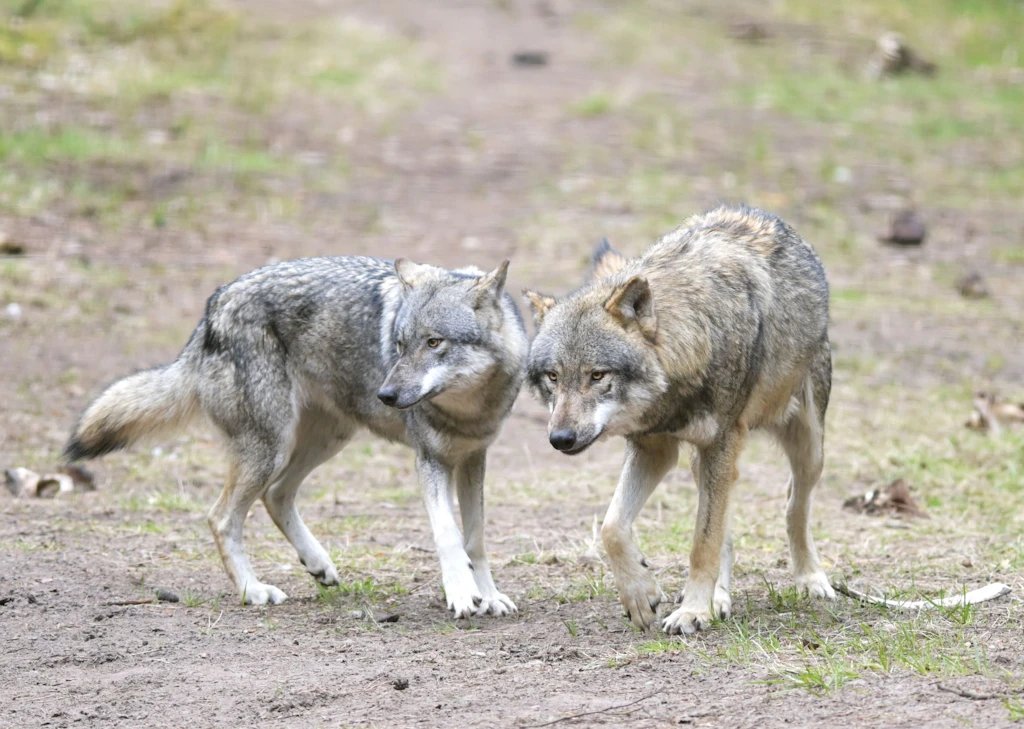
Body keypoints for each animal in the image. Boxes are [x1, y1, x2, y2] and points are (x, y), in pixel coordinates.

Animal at [64, 256, 527, 617]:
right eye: (398, 344)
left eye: (434, 343)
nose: (386, 395)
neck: (468, 409)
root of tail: (213, 307)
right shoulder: (429, 461)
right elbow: (449, 535)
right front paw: (462, 594)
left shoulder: (473, 459)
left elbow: (475, 539)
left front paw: (489, 596)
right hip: (271, 448)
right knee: (221, 516)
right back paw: (253, 591)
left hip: (326, 439)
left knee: (276, 495)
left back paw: (317, 564)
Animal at [523, 206, 835, 634]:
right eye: (553, 377)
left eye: (597, 375)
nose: (561, 439)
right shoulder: (654, 448)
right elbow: (612, 527)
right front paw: (641, 595)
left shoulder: (720, 443)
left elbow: (703, 544)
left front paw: (692, 611)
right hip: (702, 462)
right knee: (727, 529)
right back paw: (720, 598)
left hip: (808, 447)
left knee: (793, 506)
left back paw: (810, 578)